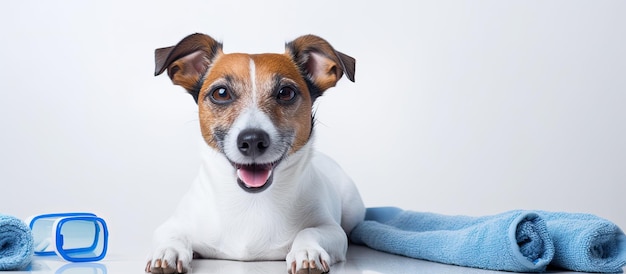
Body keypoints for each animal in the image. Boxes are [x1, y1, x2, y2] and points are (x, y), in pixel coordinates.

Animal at [144, 32, 364, 274]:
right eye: (221, 93)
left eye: (286, 93)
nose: (252, 140)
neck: (251, 201)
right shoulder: (171, 225)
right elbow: (172, 235)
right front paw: (168, 252)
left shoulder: (331, 229)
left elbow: (310, 231)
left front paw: (307, 251)